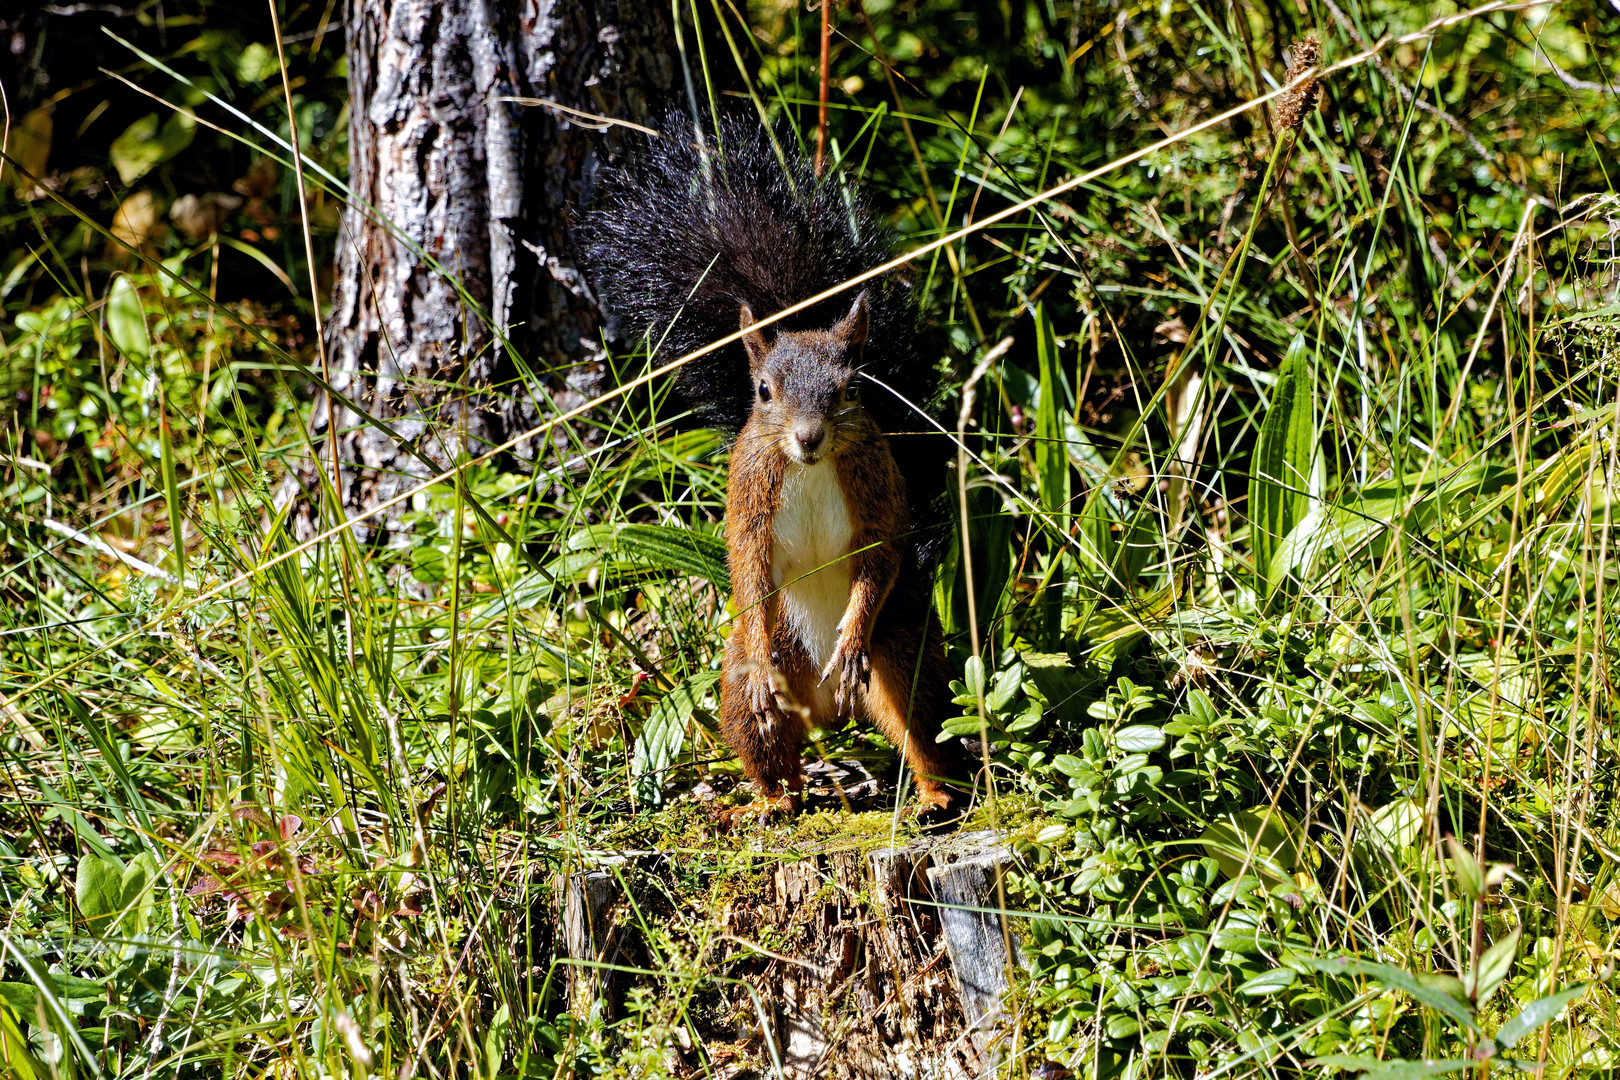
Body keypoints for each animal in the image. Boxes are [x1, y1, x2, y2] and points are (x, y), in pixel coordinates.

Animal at [583, 111, 959, 819]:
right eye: (762, 391)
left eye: (851, 387)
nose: (810, 438)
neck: (809, 469)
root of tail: (827, 713)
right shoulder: (750, 496)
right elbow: (748, 561)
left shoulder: (875, 491)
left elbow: (880, 557)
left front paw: (849, 636)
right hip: (745, 688)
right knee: (768, 743)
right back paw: (771, 800)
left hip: (901, 651)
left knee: (919, 724)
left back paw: (931, 792)